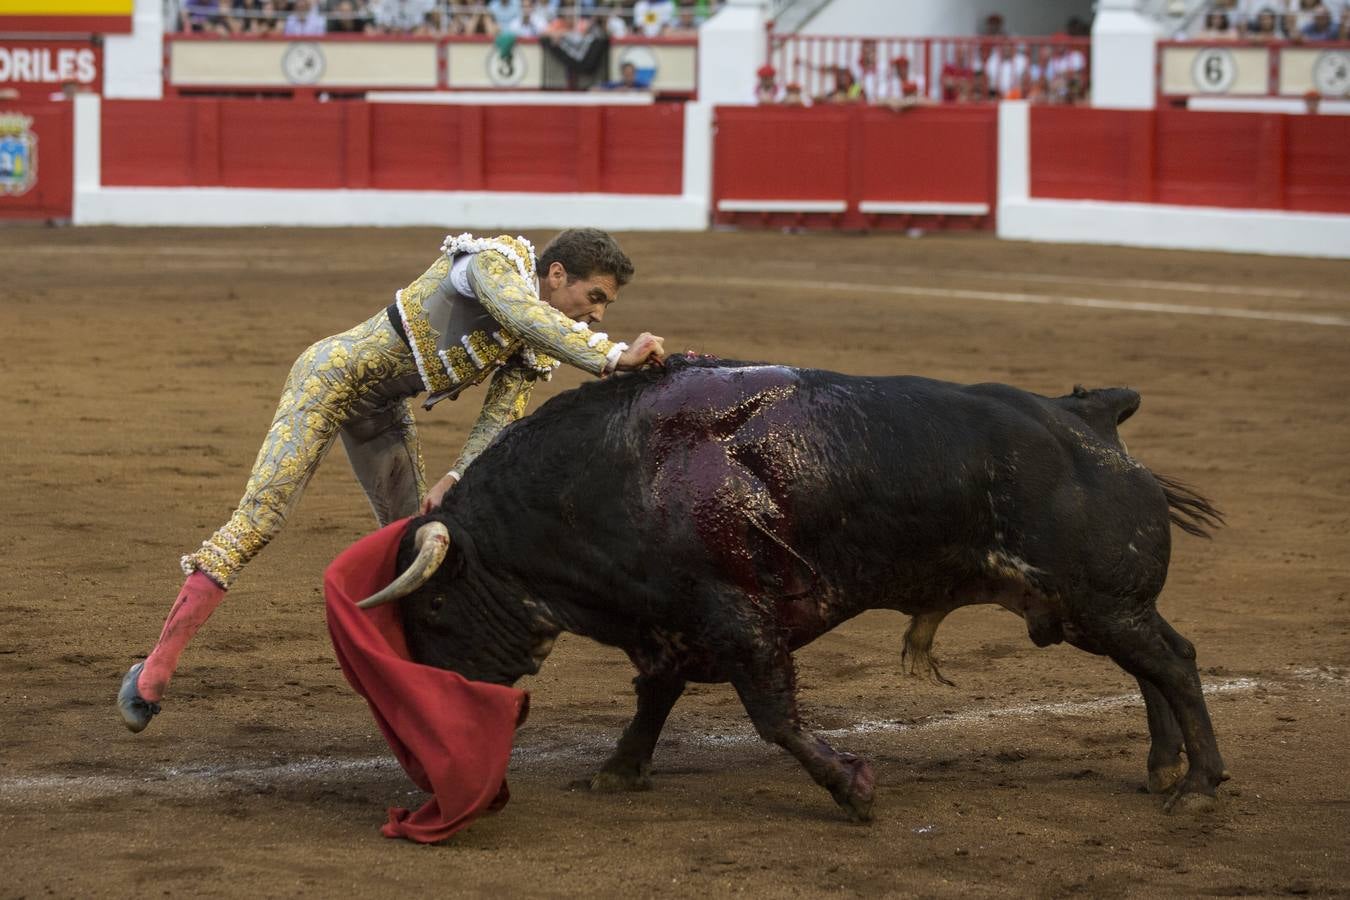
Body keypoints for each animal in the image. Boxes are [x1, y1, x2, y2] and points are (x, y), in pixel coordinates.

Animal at [388, 356, 1225, 820]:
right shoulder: (672, 626)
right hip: (1086, 607)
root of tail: (1091, 417)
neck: (614, 475)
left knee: (1175, 662)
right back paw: (1163, 767)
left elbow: (774, 717)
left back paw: (1200, 788)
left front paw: (854, 789)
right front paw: (617, 772)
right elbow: (654, 701)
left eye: (435, 605)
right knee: (1152, 664)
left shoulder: (736, 620)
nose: (435, 707)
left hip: (1097, 601)